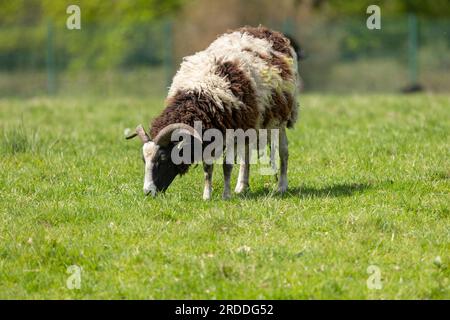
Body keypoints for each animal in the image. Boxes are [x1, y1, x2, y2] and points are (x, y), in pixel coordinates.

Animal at [126, 25, 300, 200]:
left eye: (163, 158)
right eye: (143, 160)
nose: (148, 192)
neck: (198, 96)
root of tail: (261, 29)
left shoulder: (231, 134)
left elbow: (227, 166)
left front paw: (226, 195)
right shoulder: (209, 138)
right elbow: (207, 168)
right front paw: (207, 196)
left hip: (279, 119)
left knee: (283, 151)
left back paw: (281, 186)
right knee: (246, 156)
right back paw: (241, 187)